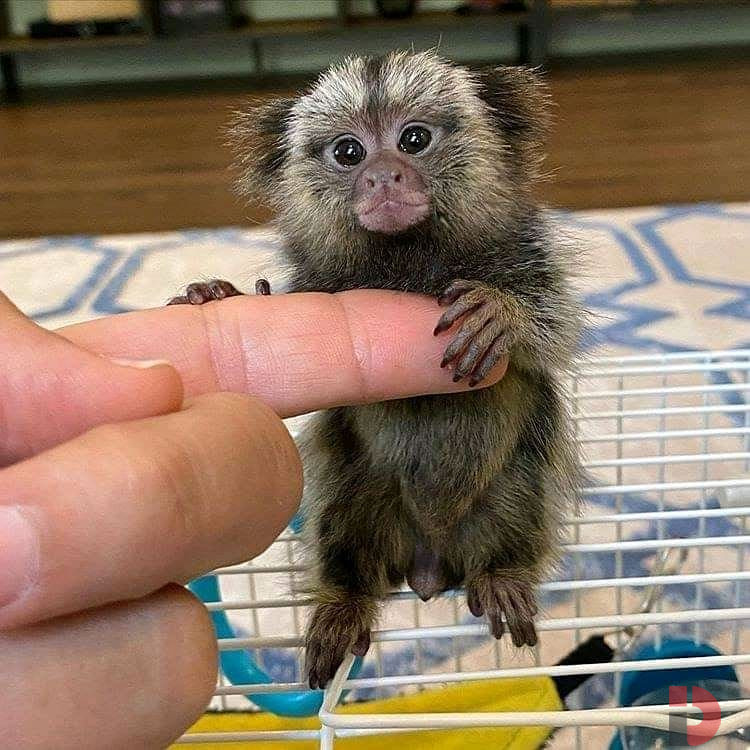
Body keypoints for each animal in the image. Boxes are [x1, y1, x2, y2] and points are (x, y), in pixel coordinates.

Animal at [170, 51, 584, 690]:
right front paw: (218, 295)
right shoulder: (316, 285)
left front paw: (501, 314)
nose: (383, 177)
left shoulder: (527, 254)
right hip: (366, 498)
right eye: (349, 152)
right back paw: (344, 602)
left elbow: (550, 332)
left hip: (506, 496)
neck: (406, 262)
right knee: (341, 508)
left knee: (529, 480)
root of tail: (432, 564)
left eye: (413, 140)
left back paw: (503, 576)